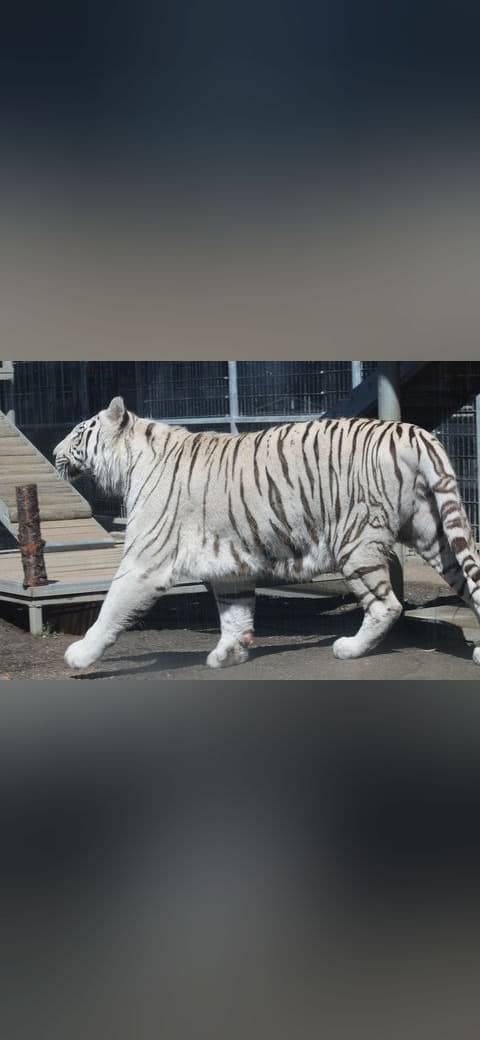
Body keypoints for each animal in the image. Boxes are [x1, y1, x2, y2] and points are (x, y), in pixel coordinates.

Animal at [53, 395, 480, 670]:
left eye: (78, 433)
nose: (55, 452)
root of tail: (412, 432)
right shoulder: (228, 561)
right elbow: (234, 611)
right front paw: (229, 653)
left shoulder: (146, 560)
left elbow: (111, 607)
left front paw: (80, 654)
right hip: (433, 532)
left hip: (355, 541)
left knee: (385, 605)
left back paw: (349, 649)